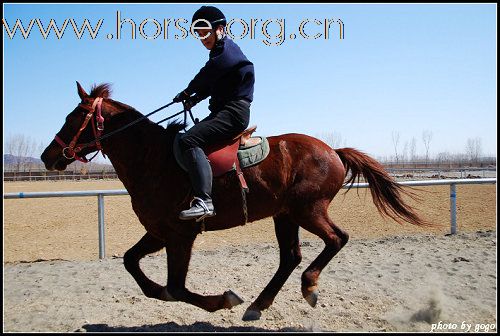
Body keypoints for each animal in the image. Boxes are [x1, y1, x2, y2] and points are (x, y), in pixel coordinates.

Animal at [40, 82, 430, 322]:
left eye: (74, 117)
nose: (48, 156)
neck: (154, 159)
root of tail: (332, 151)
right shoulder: (159, 232)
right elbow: (131, 263)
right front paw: (157, 291)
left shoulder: (180, 235)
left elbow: (176, 287)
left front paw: (222, 300)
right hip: (285, 215)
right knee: (290, 257)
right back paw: (260, 304)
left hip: (308, 210)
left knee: (336, 239)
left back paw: (309, 286)